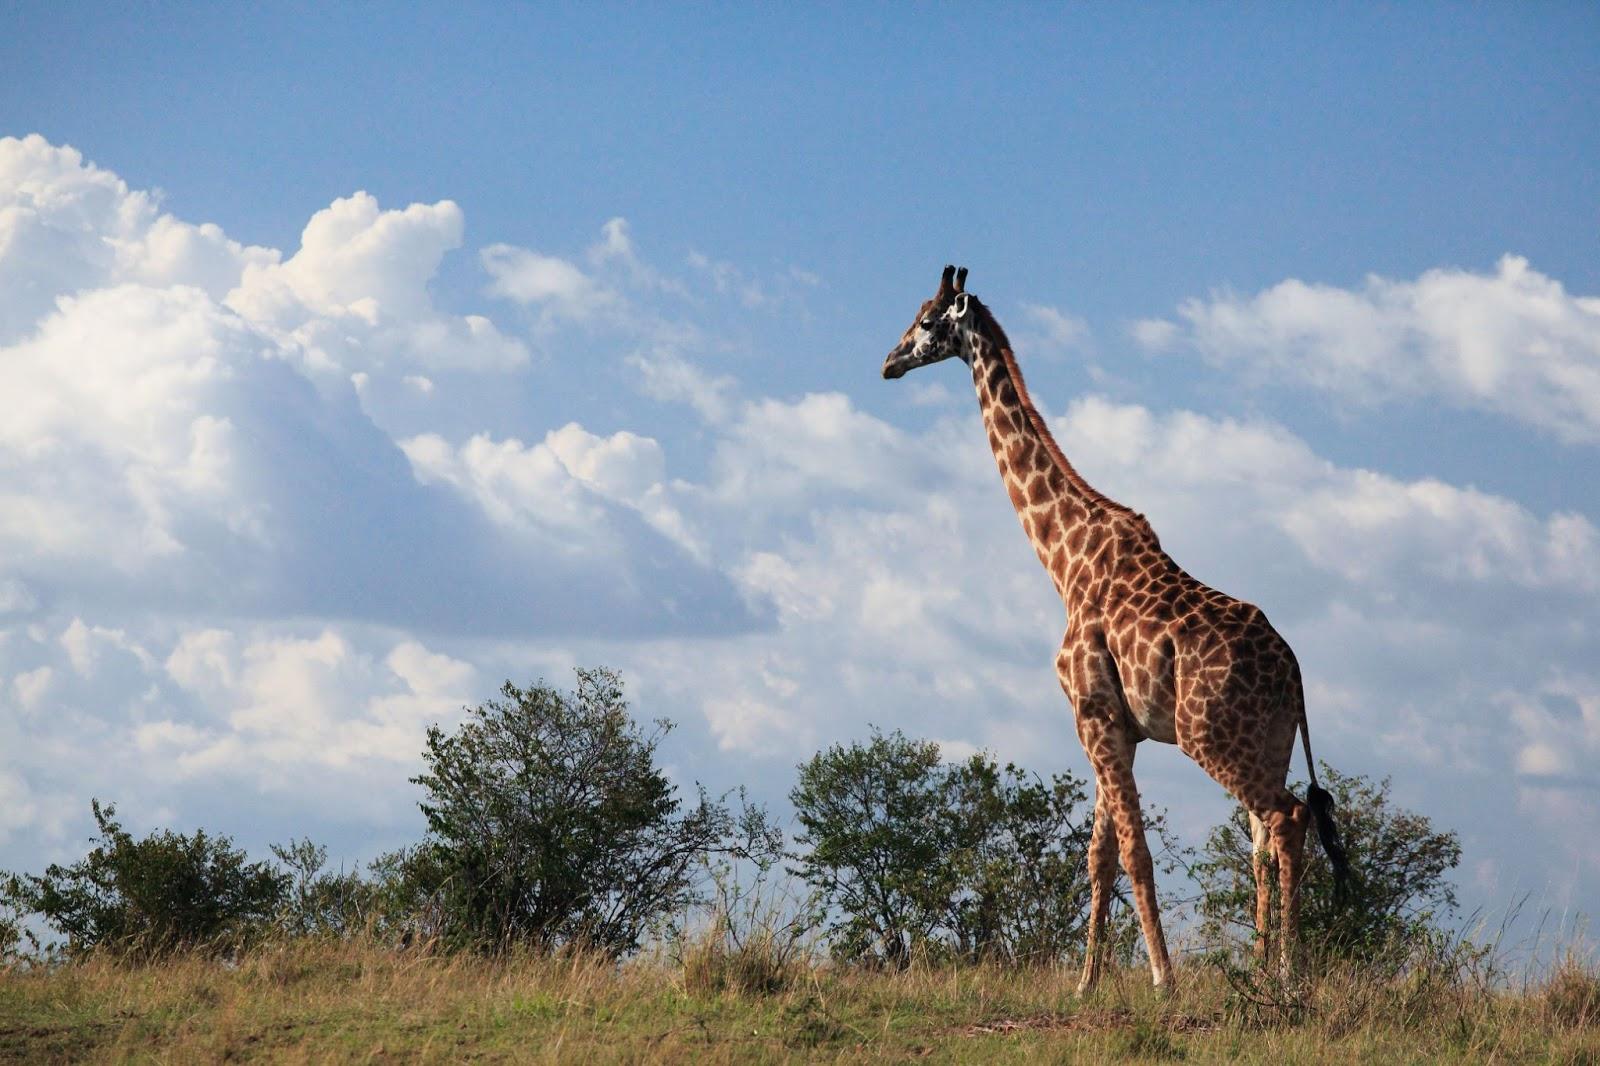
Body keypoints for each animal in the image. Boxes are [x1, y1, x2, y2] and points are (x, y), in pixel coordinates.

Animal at [883, 265, 1344, 985]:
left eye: (928, 321)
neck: (1063, 559)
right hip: (1268, 741)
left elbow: (1133, 854)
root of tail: (1294, 671)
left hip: (1209, 735)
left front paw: (1162, 978)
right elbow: (1099, 857)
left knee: (1287, 818)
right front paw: (1085, 983)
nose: (889, 362)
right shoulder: (1111, 725)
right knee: (1264, 837)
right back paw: (1264, 966)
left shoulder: (1093, 713)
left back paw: (1287, 973)